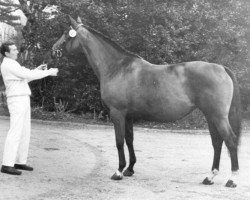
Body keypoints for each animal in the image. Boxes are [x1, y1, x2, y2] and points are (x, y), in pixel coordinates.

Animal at [51, 15, 241, 188]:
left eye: (66, 33)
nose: (53, 50)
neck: (117, 68)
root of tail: (221, 68)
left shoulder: (117, 113)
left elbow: (119, 141)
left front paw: (118, 171)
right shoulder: (128, 115)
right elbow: (129, 139)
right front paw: (130, 169)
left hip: (218, 116)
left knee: (230, 141)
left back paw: (232, 179)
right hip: (210, 116)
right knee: (217, 142)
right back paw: (210, 177)